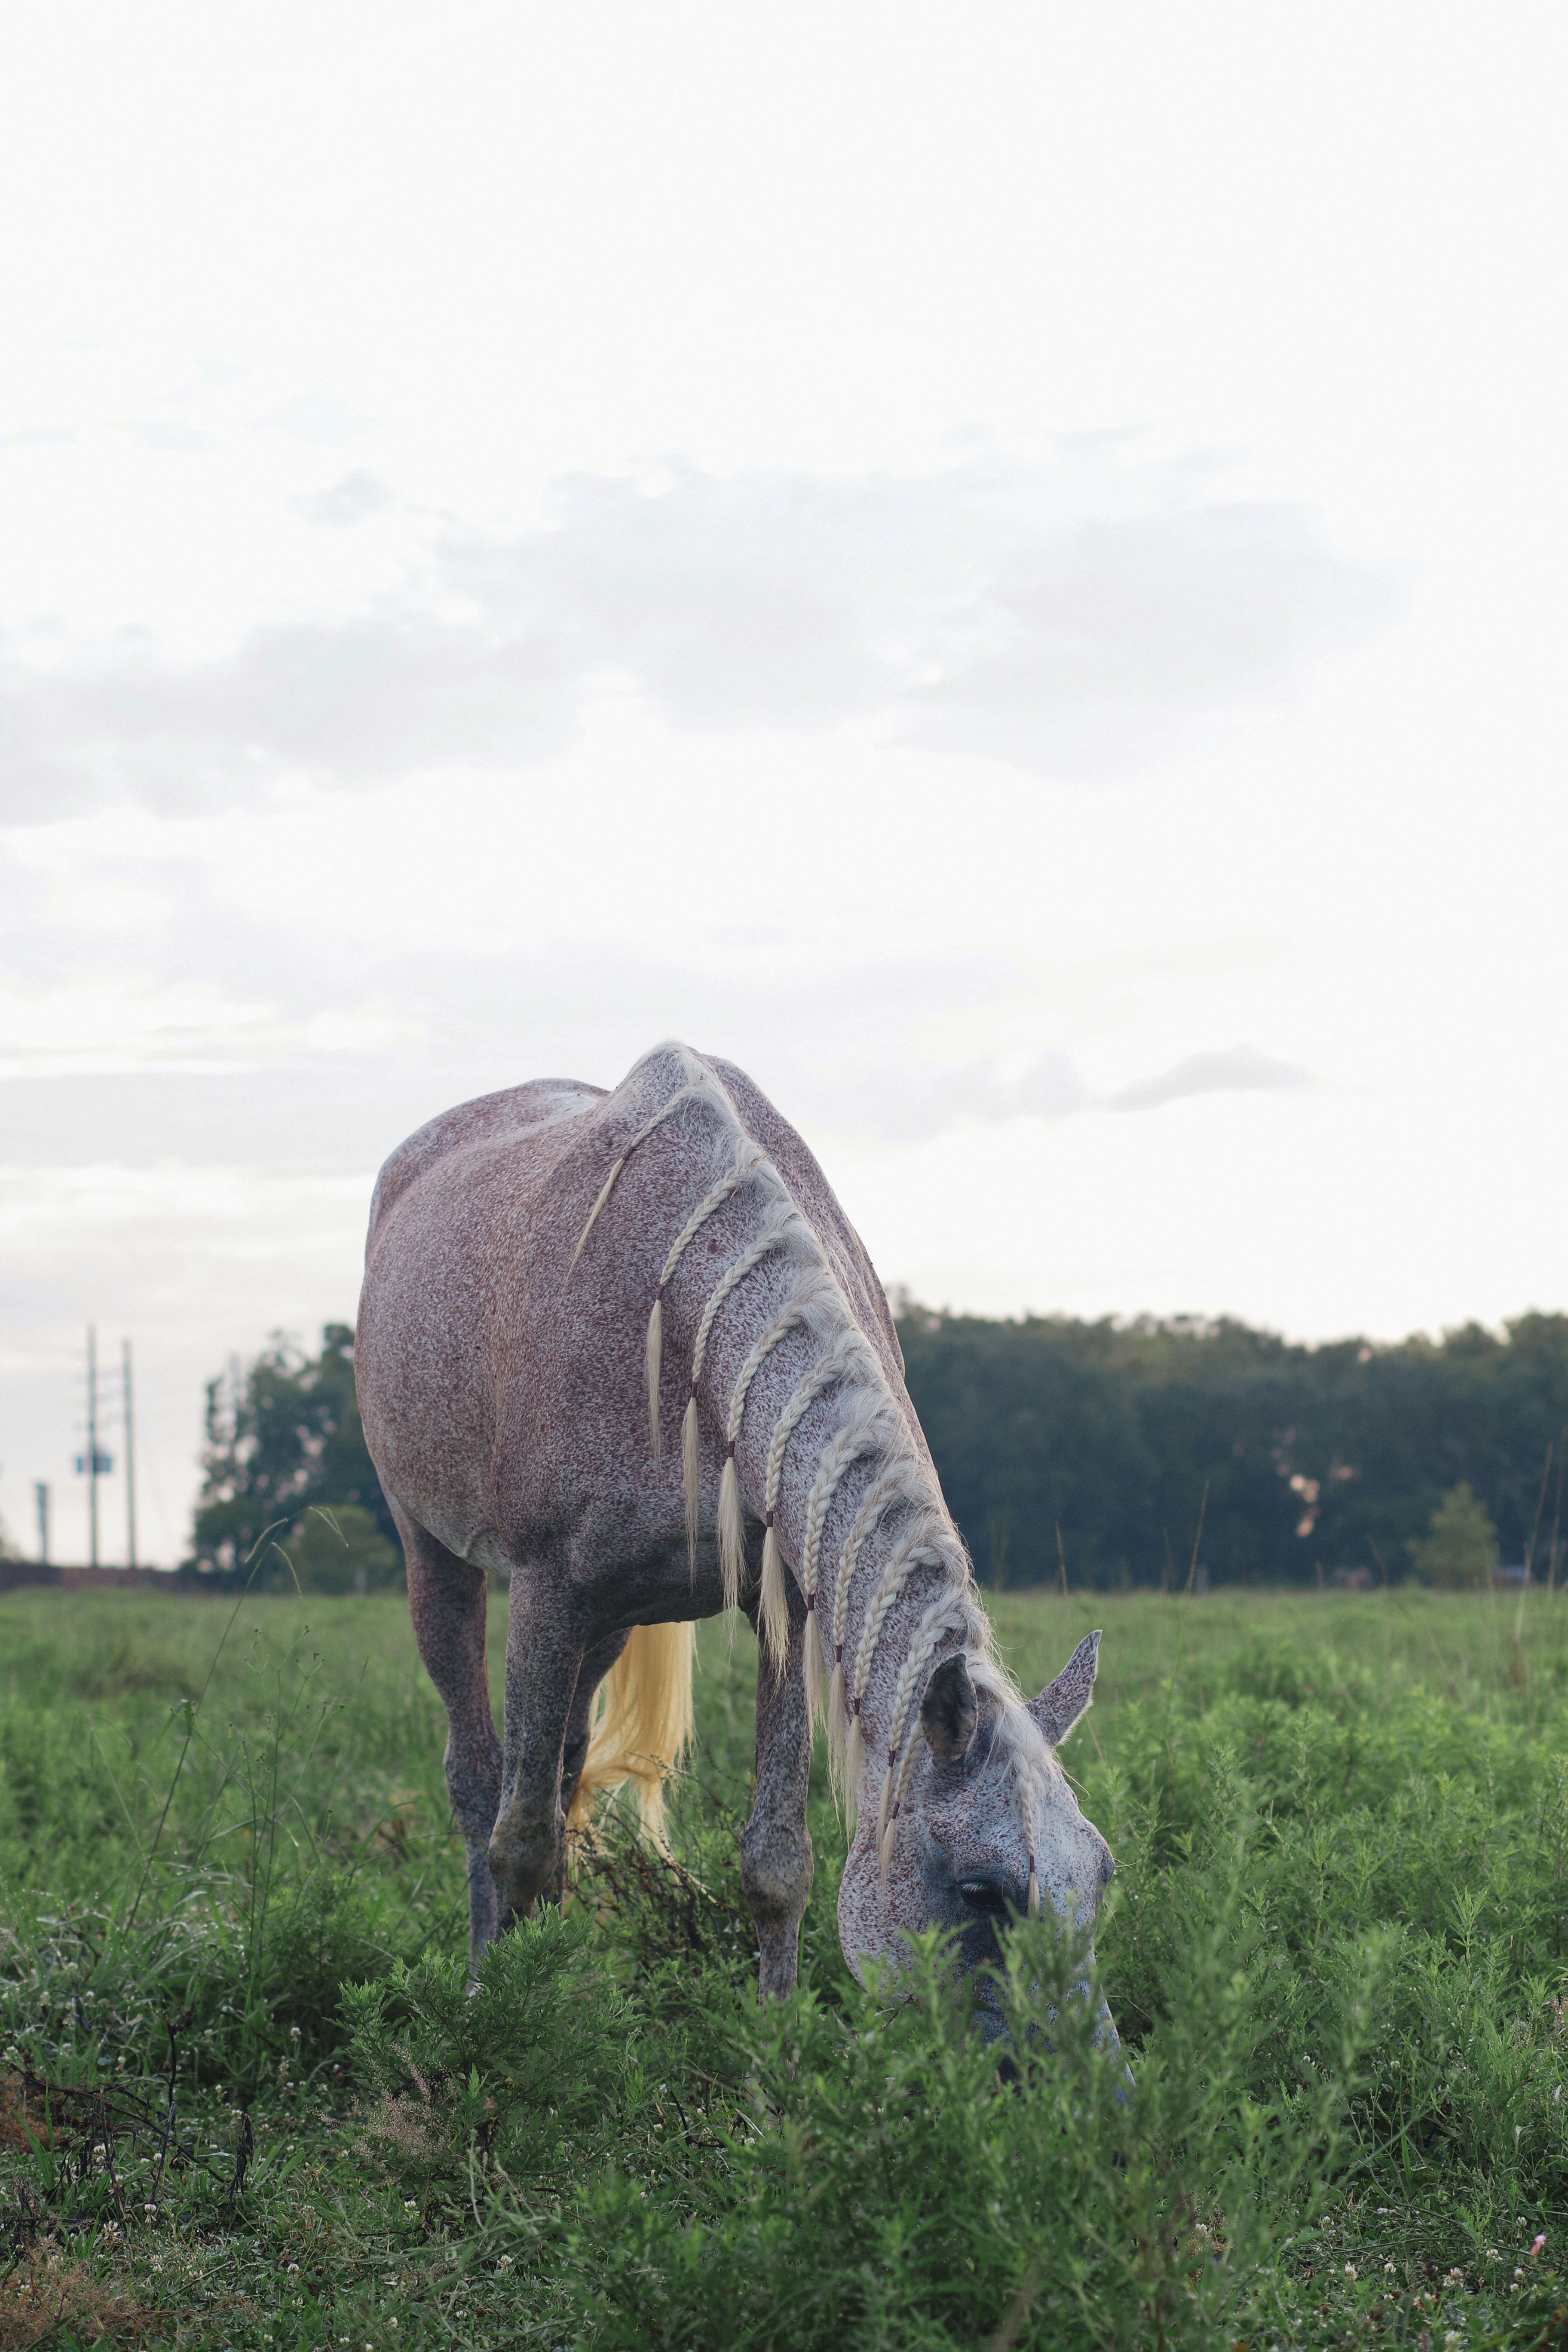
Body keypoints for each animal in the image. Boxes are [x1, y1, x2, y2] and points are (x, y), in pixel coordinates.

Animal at [355, 1043, 1115, 2018]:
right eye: (982, 1890)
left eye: (1101, 1877)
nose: (1091, 2062)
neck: (687, 1316)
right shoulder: (546, 1592)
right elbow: (516, 1839)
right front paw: (506, 2024)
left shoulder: (785, 1602)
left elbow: (776, 1860)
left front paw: (776, 2037)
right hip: (443, 1560)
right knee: (478, 1777)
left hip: (604, 1626)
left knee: (564, 1767)